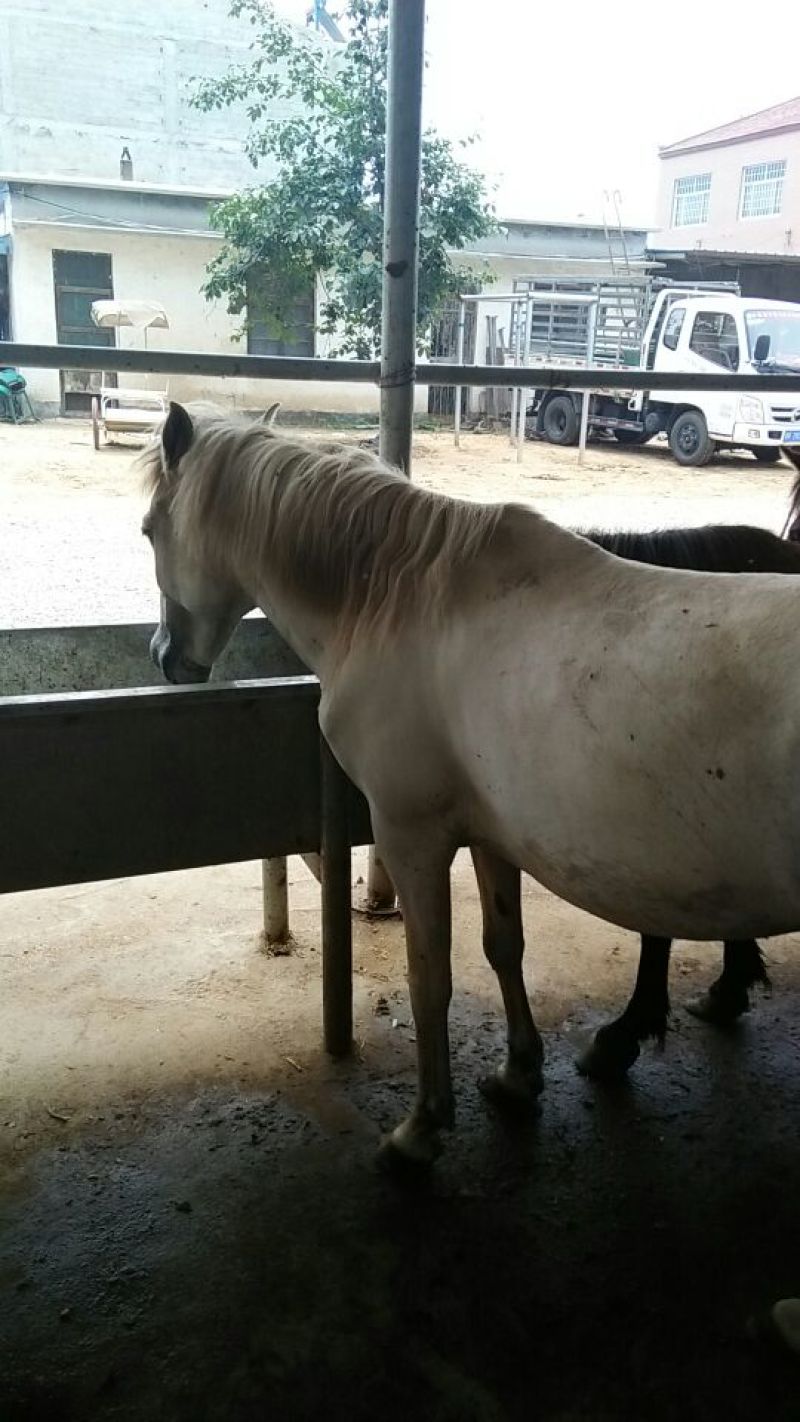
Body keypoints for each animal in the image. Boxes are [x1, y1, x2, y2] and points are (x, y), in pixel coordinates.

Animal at [142, 402, 800, 1166]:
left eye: (151, 529)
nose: (166, 659)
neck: (400, 601)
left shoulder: (412, 836)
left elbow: (430, 977)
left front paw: (421, 1129)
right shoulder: (493, 836)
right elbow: (502, 947)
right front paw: (518, 1076)